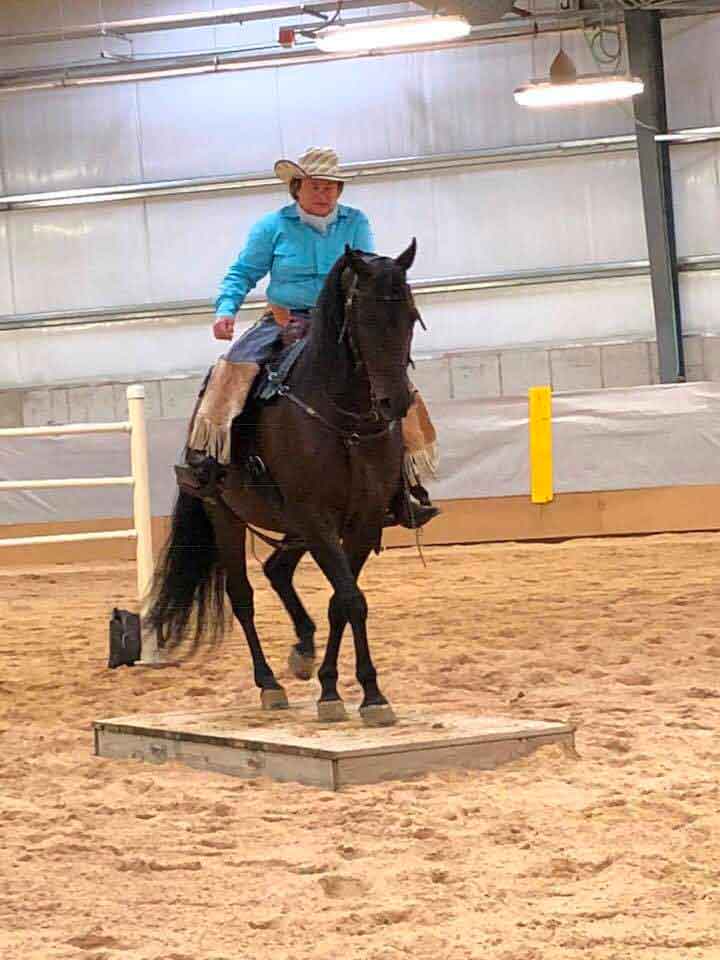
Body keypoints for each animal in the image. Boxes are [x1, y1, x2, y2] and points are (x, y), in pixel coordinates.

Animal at [146, 240, 423, 727]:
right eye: (364, 319)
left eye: (409, 315)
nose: (396, 402)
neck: (343, 418)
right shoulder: (316, 518)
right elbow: (351, 599)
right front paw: (360, 695)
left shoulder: (363, 521)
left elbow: (342, 601)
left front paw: (342, 689)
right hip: (227, 515)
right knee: (241, 595)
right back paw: (269, 684)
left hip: (292, 525)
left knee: (277, 570)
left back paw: (303, 652)